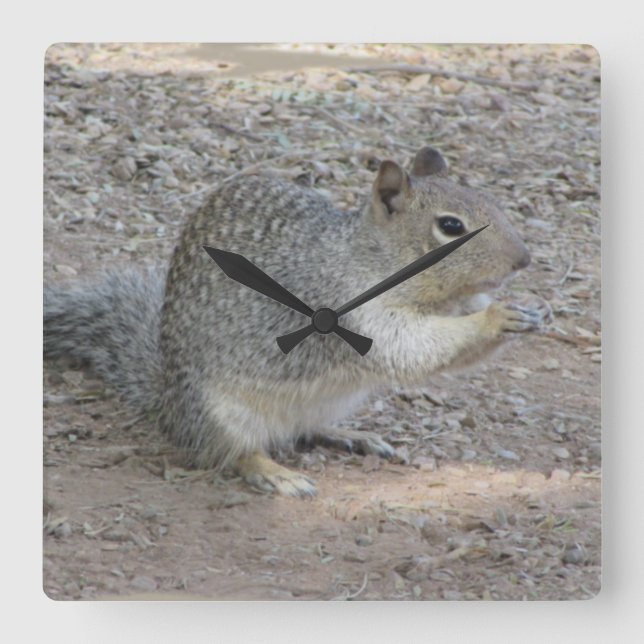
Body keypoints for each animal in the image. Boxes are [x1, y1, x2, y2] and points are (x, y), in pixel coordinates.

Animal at [44, 146, 551, 497]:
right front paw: (495, 317)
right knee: (231, 452)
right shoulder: (347, 310)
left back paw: (351, 435)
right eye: (450, 226)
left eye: (491, 201)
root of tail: (169, 404)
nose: (524, 260)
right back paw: (274, 473)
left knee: (303, 429)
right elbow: (406, 347)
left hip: (326, 402)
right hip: (221, 411)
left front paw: (529, 310)